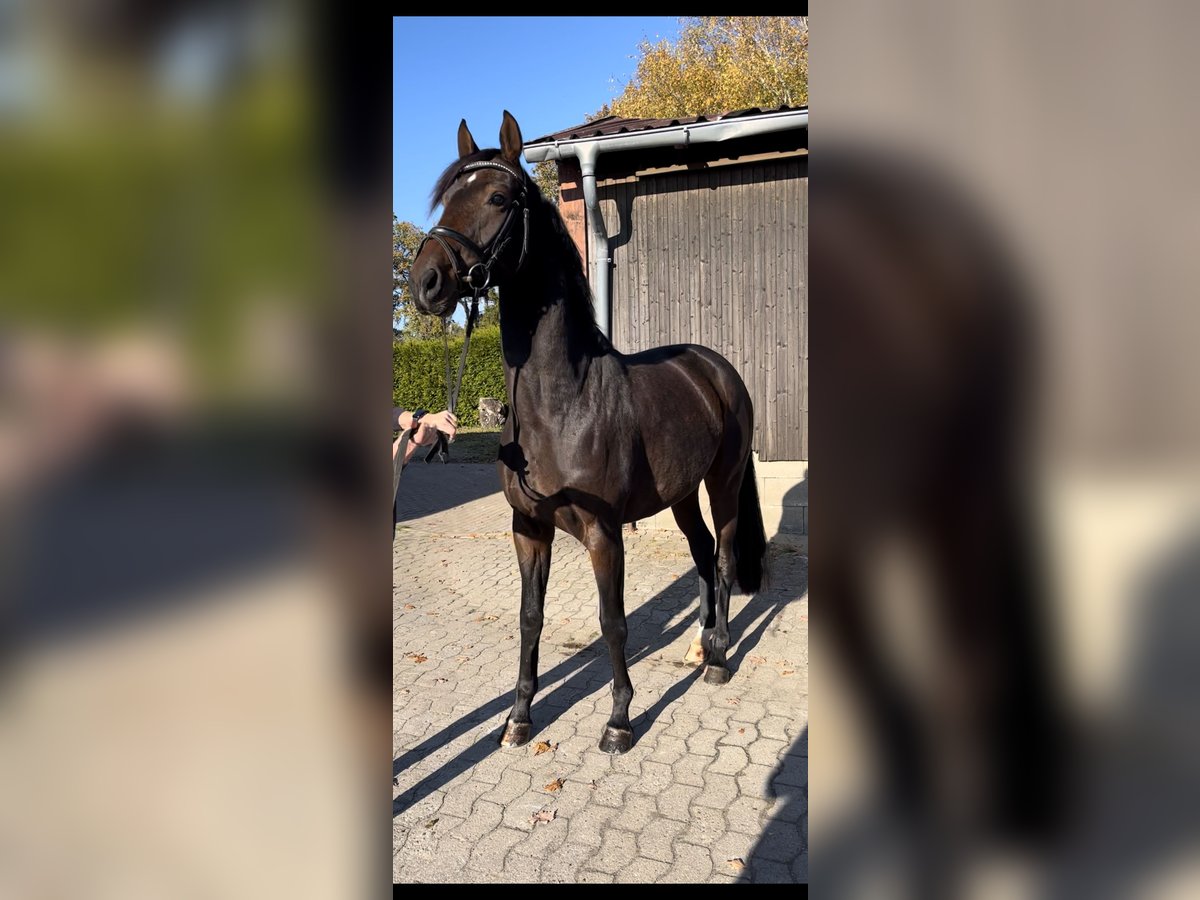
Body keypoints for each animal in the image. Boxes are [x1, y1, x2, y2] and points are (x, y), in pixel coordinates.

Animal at [412, 112, 768, 753]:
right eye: (448, 198)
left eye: (498, 198)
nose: (425, 281)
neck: (562, 403)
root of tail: (715, 369)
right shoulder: (528, 528)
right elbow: (531, 616)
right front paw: (518, 718)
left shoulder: (604, 534)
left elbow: (613, 622)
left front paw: (620, 719)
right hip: (681, 495)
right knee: (702, 554)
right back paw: (700, 644)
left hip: (723, 482)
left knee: (725, 559)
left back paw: (719, 659)